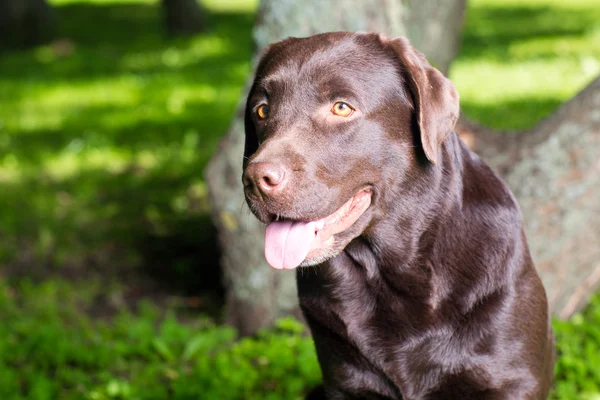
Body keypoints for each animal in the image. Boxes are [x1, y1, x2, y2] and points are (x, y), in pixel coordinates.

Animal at [241, 32, 556, 398]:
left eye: (341, 107)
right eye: (262, 110)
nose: (255, 179)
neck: (395, 272)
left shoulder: (513, 381)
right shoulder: (344, 381)